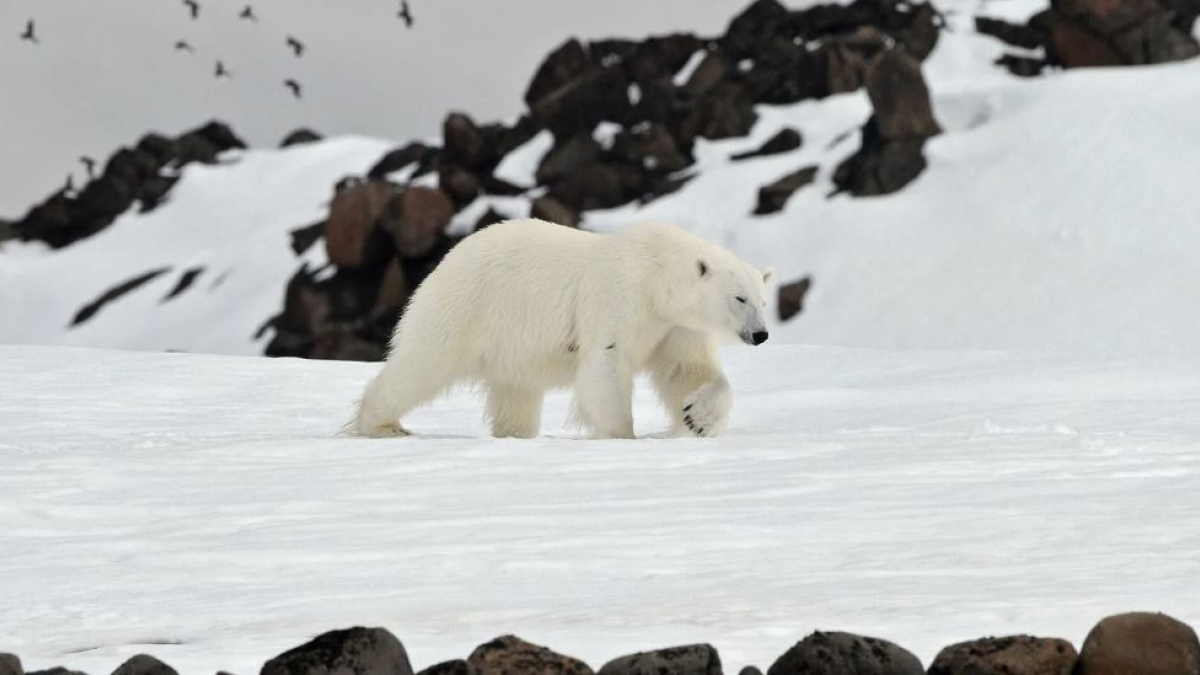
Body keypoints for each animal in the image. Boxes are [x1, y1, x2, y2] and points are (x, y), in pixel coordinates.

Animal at [351, 218, 774, 439]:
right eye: (739, 298)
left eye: (763, 300)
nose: (761, 335)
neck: (656, 274)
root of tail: (449, 256)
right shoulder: (618, 294)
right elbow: (605, 363)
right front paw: (622, 435)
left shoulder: (674, 324)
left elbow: (687, 370)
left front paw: (697, 417)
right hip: (467, 307)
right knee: (423, 363)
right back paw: (382, 425)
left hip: (511, 345)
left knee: (517, 395)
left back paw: (515, 435)